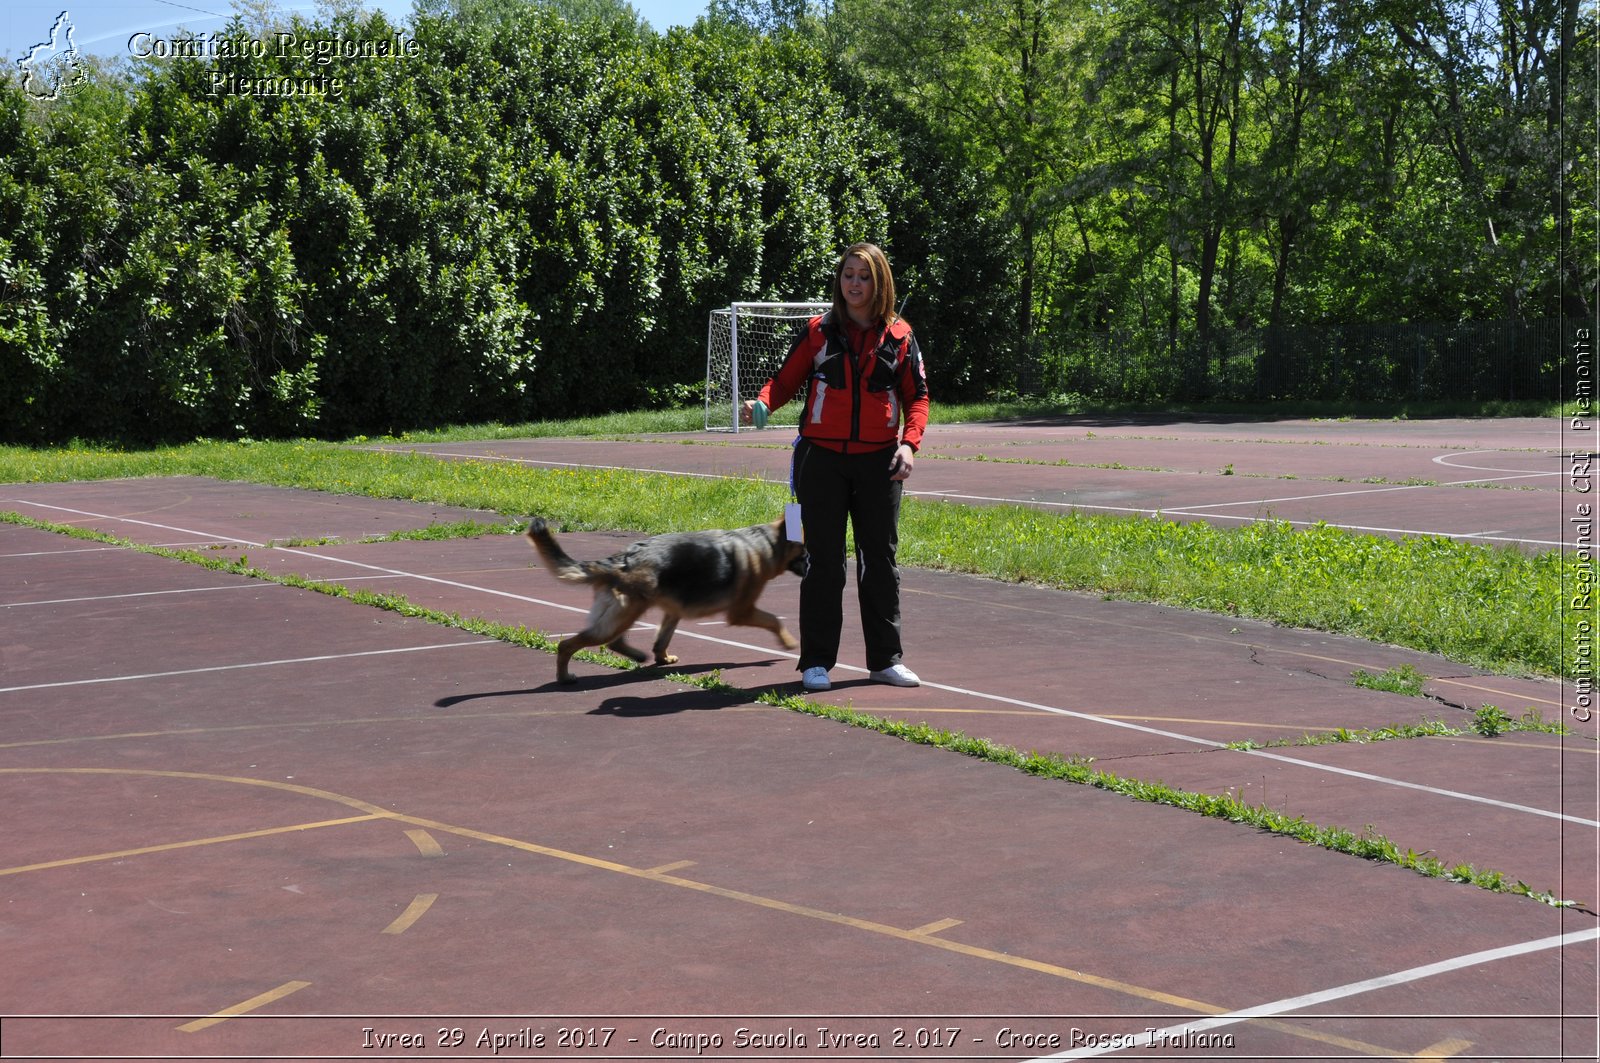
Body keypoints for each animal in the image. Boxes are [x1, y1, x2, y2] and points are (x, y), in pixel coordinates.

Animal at [524, 518, 806, 685]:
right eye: (805, 551)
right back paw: (564, 677)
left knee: (613, 641)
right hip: (623, 615)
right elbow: (774, 620)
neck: (765, 543)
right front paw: (789, 642)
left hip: (621, 615)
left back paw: (637, 656)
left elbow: (662, 640)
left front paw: (663, 659)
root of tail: (622, 559)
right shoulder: (742, 612)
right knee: (567, 645)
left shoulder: (673, 611)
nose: (812, 565)